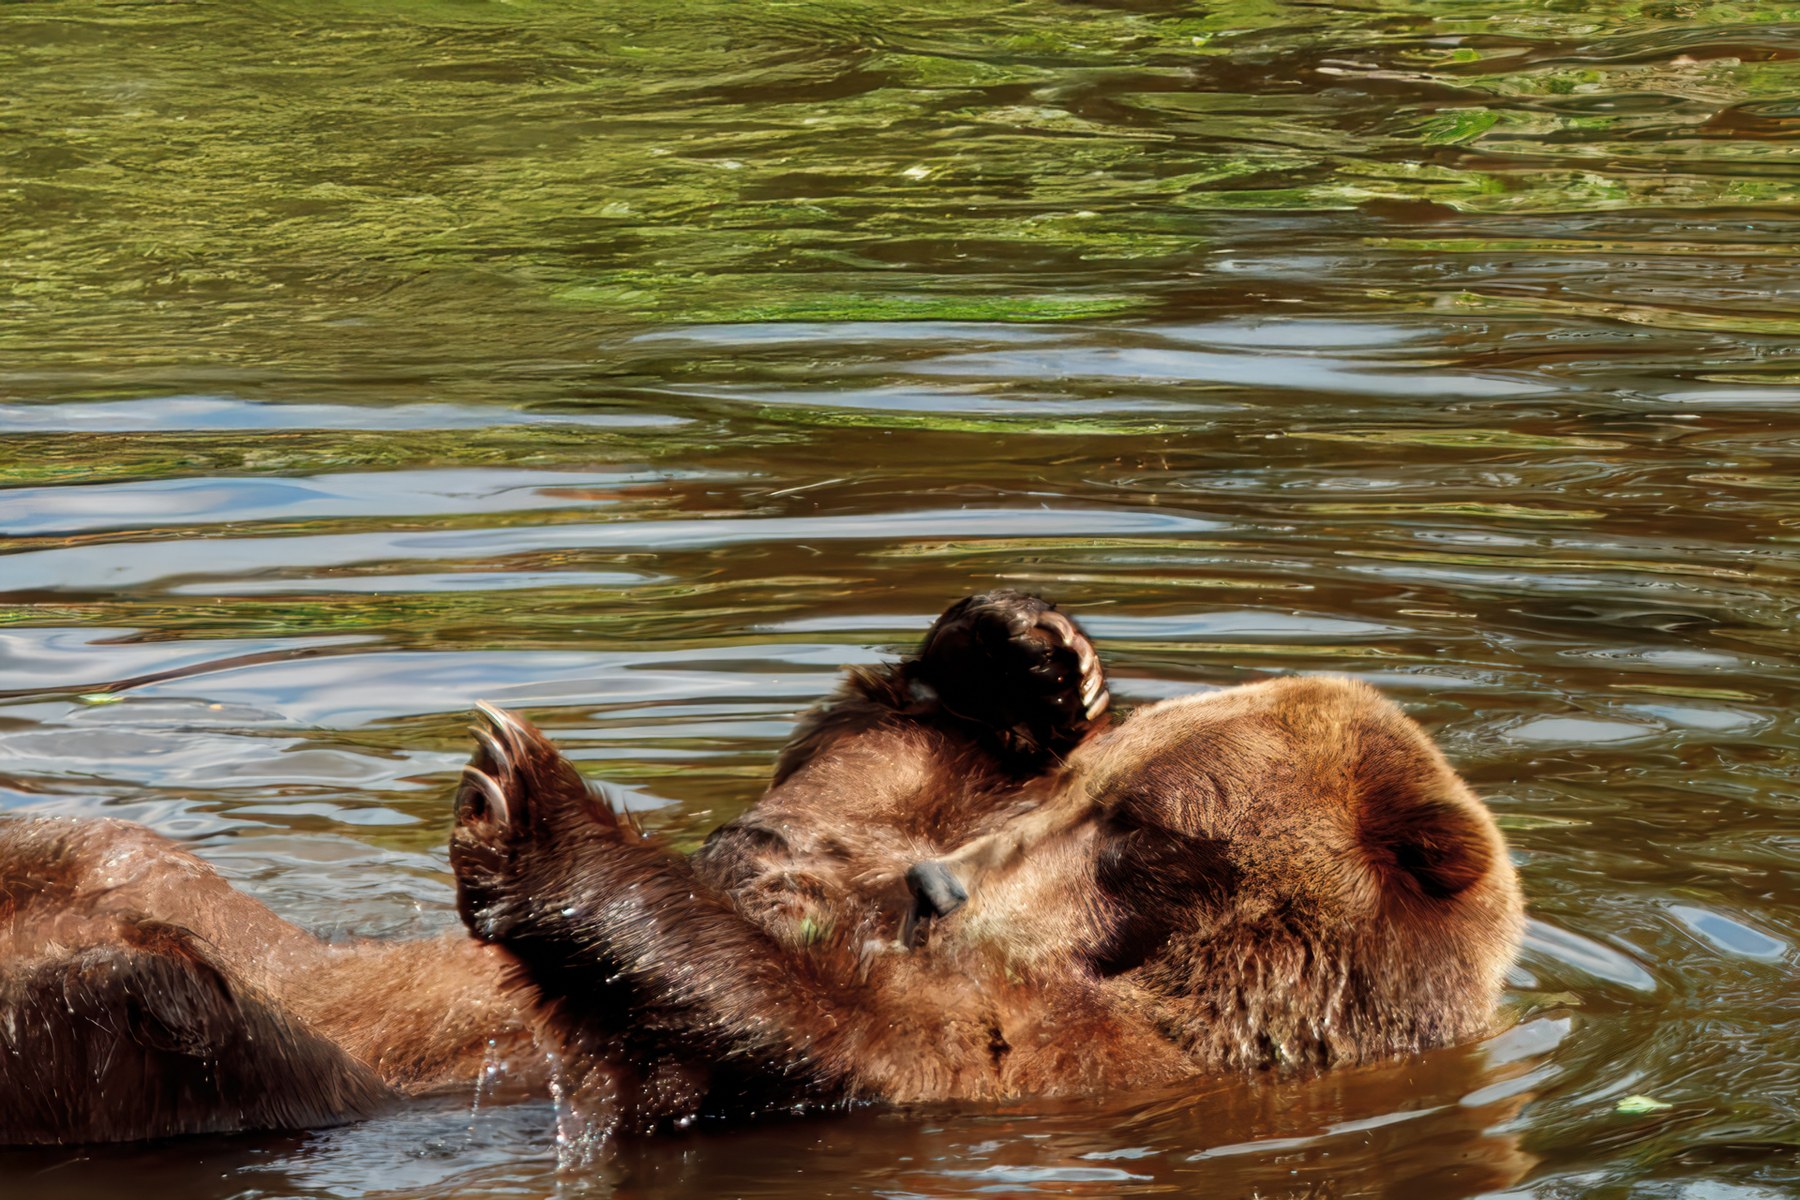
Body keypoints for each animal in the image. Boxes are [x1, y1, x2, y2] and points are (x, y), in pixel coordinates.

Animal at [0, 591, 1523, 1146]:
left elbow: (817, 1029)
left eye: (1142, 829)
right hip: (154, 876)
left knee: (147, 1010)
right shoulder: (851, 884)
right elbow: (791, 846)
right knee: (101, 855)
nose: (944, 890)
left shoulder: (1093, 1064)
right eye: (1084, 790)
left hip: (219, 1055)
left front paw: (526, 805)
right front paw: (1019, 657)